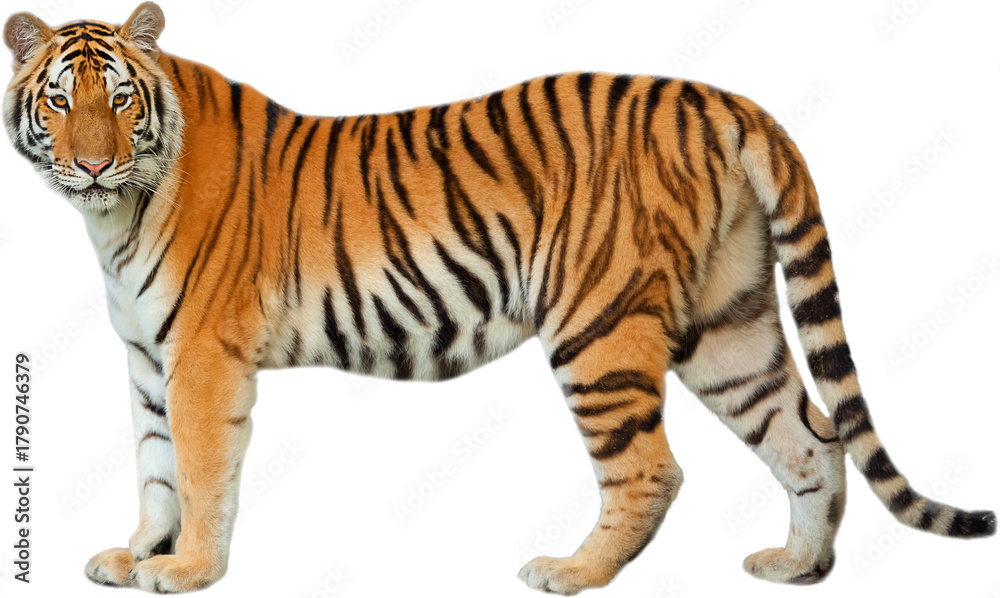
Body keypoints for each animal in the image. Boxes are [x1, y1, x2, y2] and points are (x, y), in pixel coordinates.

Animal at [2, 2, 995, 594]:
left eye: (119, 101)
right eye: (57, 104)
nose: (93, 162)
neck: (114, 215)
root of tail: (724, 100)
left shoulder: (204, 358)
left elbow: (202, 470)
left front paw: (188, 570)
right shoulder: (148, 359)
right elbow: (155, 466)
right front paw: (136, 553)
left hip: (599, 325)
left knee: (654, 467)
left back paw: (571, 571)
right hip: (729, 322)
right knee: (811, 436)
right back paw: (797, 564)